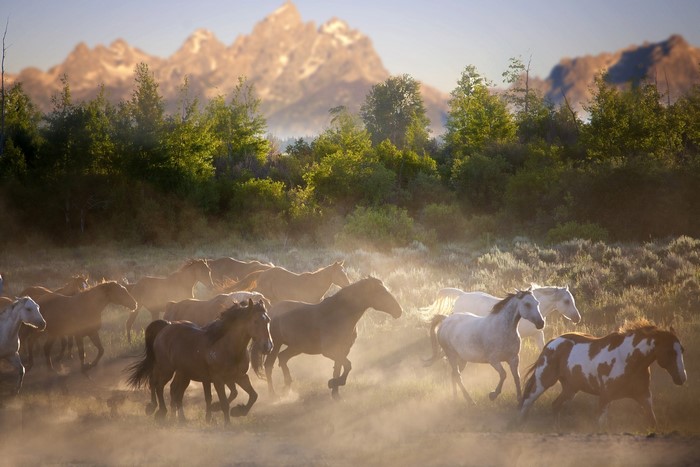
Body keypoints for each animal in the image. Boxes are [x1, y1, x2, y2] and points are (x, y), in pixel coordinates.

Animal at [126, 299, 273, 425]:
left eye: (268, 320)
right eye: (255, 321)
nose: (267, 346)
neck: (226, 347)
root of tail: (165, 327)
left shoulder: (240, 376)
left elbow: (253, 395)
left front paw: (237, 411)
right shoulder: (218, 379)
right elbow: (225, 402)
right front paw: (226, 423)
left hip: (183, 373)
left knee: (175, 391)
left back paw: (179, 418)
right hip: (166, 369)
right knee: (158, 385)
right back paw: (159, 411)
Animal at [254, 277, 402, 400]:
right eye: (380, 292)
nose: (399, 311)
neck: (339, 315)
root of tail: (271, 311)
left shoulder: (343, 350)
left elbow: (339, 368)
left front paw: (335, 393)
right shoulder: (330, 351)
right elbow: (347, 366)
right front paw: (333, 384)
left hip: (297, 347)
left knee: (283, 358)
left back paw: (287, 387)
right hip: (275, 345)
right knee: (269, 365)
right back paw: (273, 394)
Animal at [518, 322, 687, 431]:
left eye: (682, 350)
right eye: (669, 351)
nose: (682, 377)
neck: (628, 359)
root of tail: (552, 343)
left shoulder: (644, 396)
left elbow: (653, 421)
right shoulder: (605, 397)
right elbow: (600, 426)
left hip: (570, 388)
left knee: (555, 405)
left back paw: (556, 429)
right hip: (543, 381)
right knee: (527, 402)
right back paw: (521, 426)